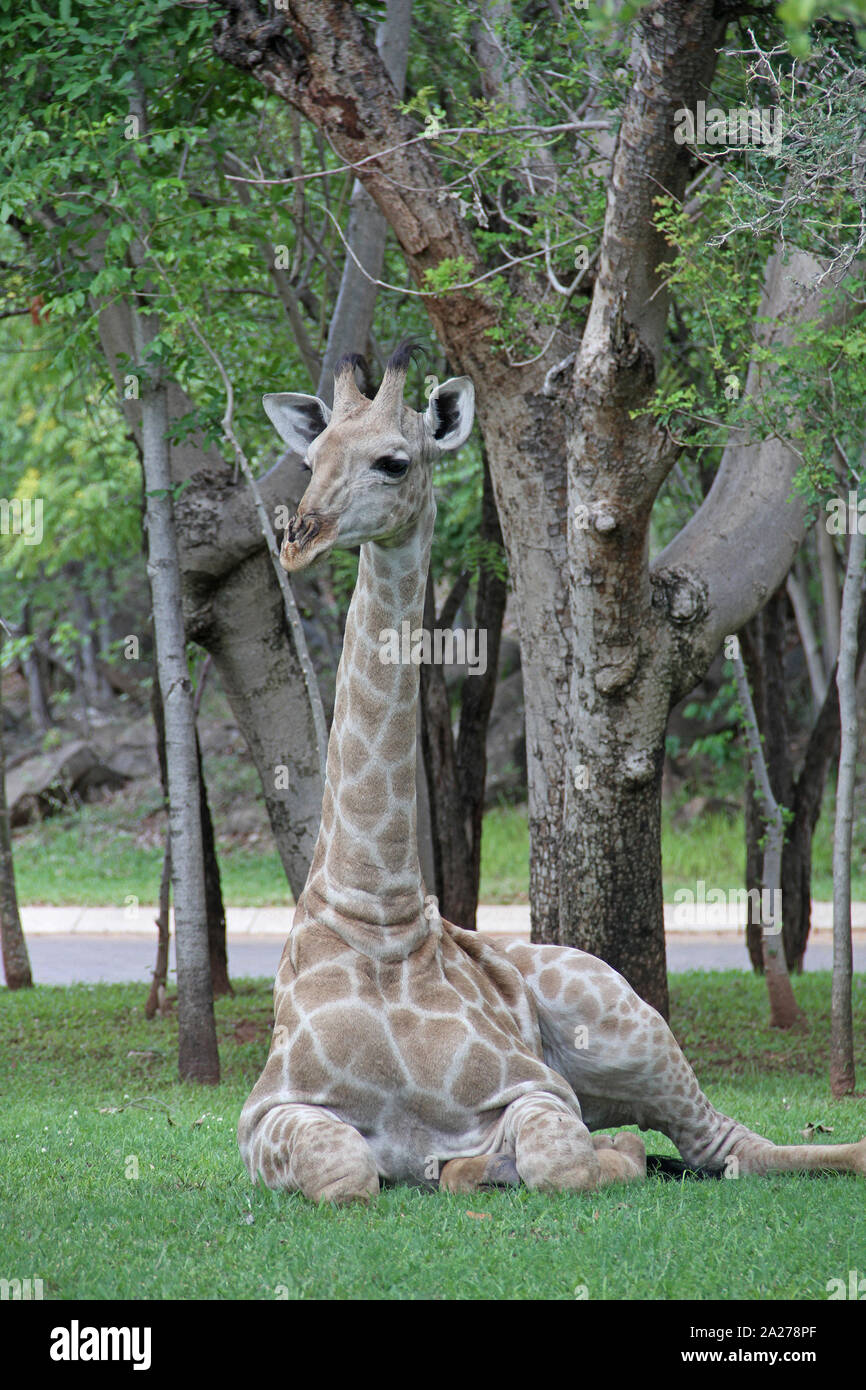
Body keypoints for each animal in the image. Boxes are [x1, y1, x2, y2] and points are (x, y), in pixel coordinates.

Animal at [238, 344, 866, 1202]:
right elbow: (348, 1171)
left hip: (627, 1028)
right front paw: (451, 1166)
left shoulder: (534, 1086)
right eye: (311, 458)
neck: (378, 917)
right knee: (714, 1149)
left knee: (729, 1145)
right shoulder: (267, 1115)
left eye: (394, 461)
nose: (299, 538)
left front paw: (498, 1163)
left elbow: (560, 1159)